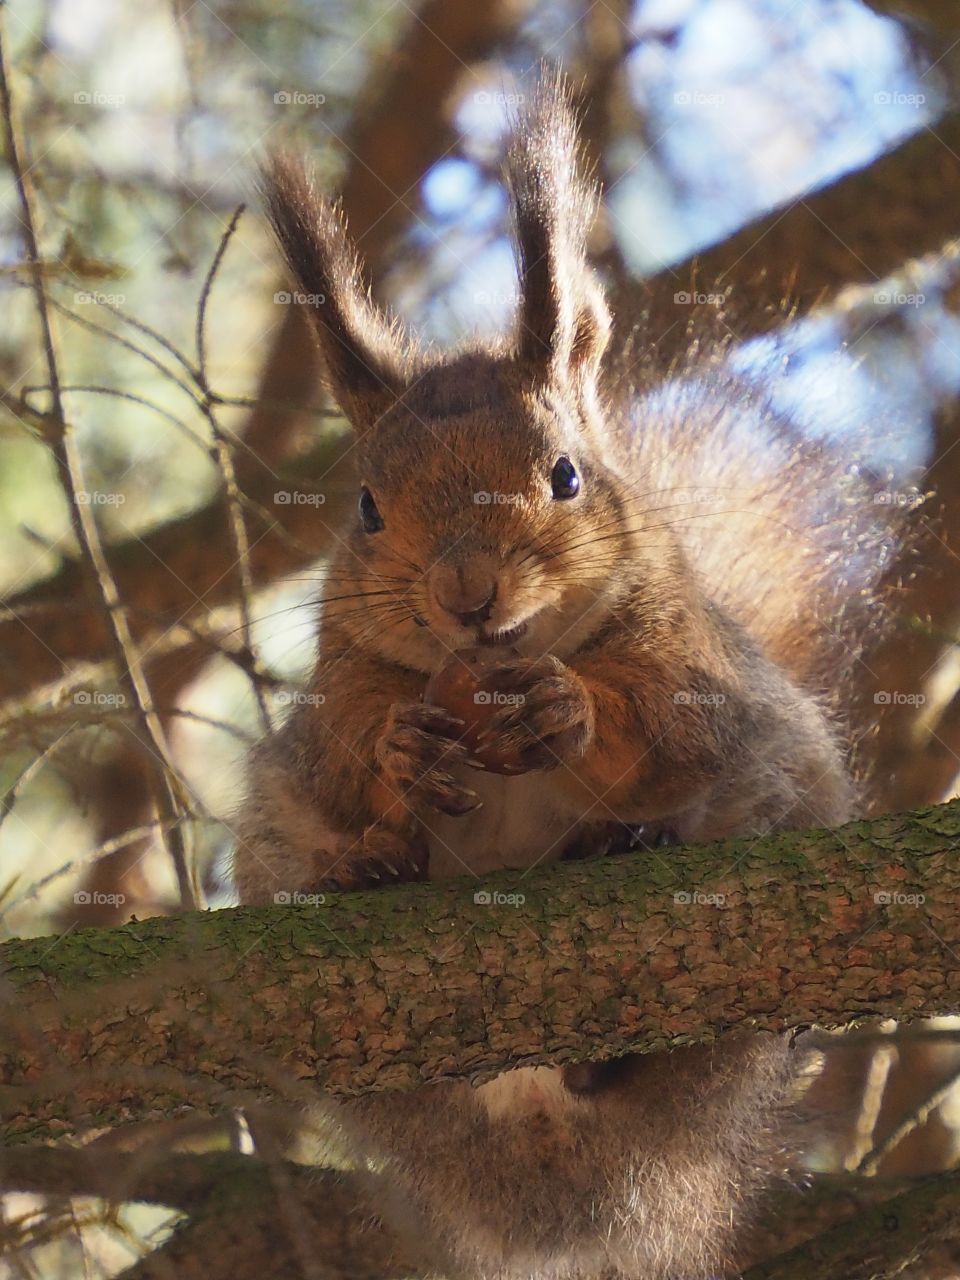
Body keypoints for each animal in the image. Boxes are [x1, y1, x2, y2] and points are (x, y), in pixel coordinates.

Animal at [233, 74, 905, 1280]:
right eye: (366, 506)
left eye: (566, 476)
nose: (467, 591)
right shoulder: (330, 705)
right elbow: (342, 761)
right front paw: (402, 753)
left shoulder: (701, 673)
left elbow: (674, 730)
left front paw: (573, 711)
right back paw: (370, 878)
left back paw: (622, 866)